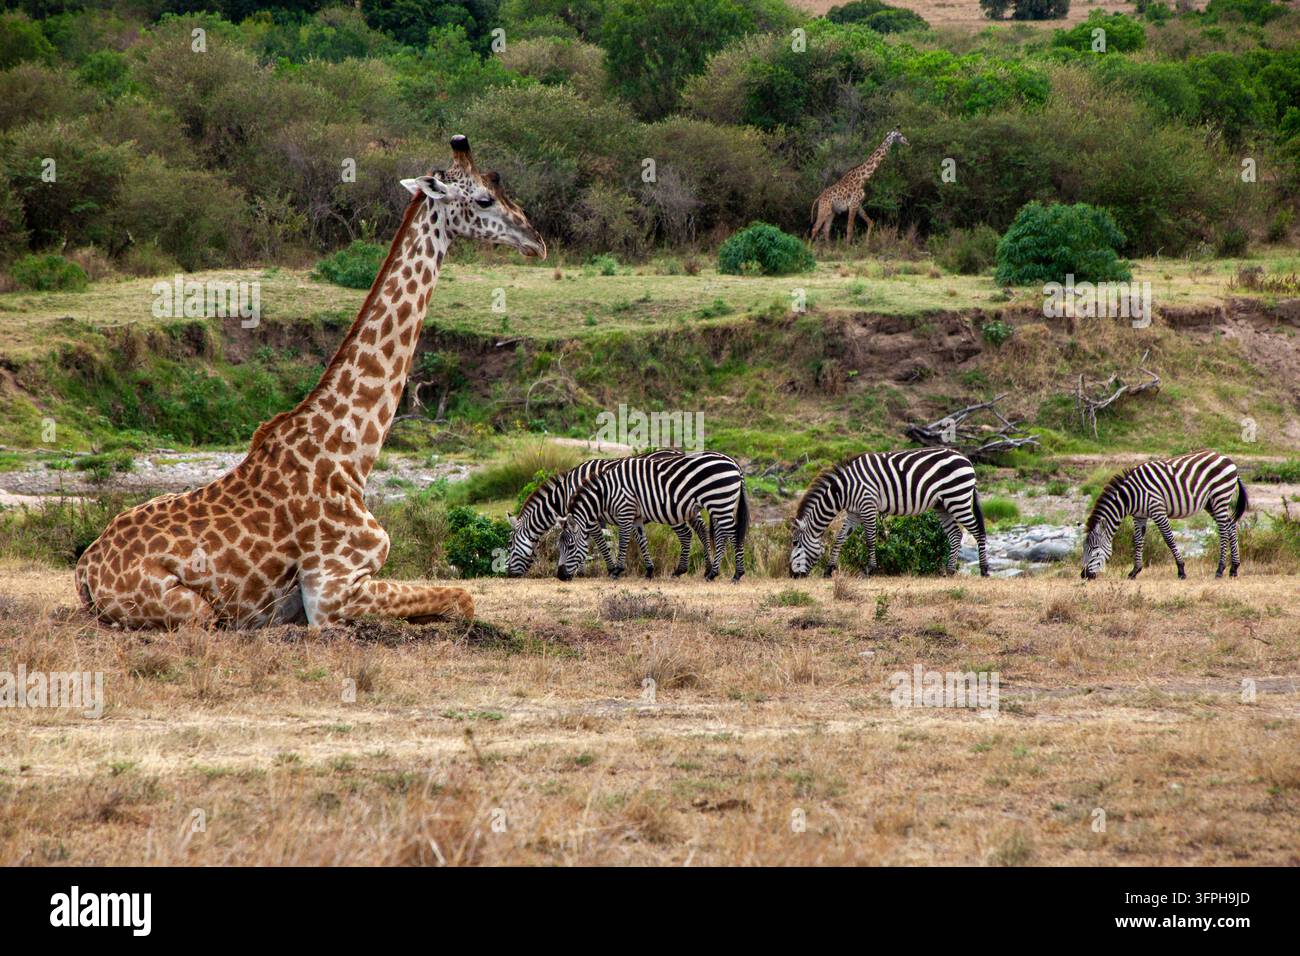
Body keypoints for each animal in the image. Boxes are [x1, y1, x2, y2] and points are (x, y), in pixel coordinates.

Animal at [75, 135, 546, 630]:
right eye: (484, 198)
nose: (536, 241)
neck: (350, 455)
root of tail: (84, 569)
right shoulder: (330, 590)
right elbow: (463, 596)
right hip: (193, 608)